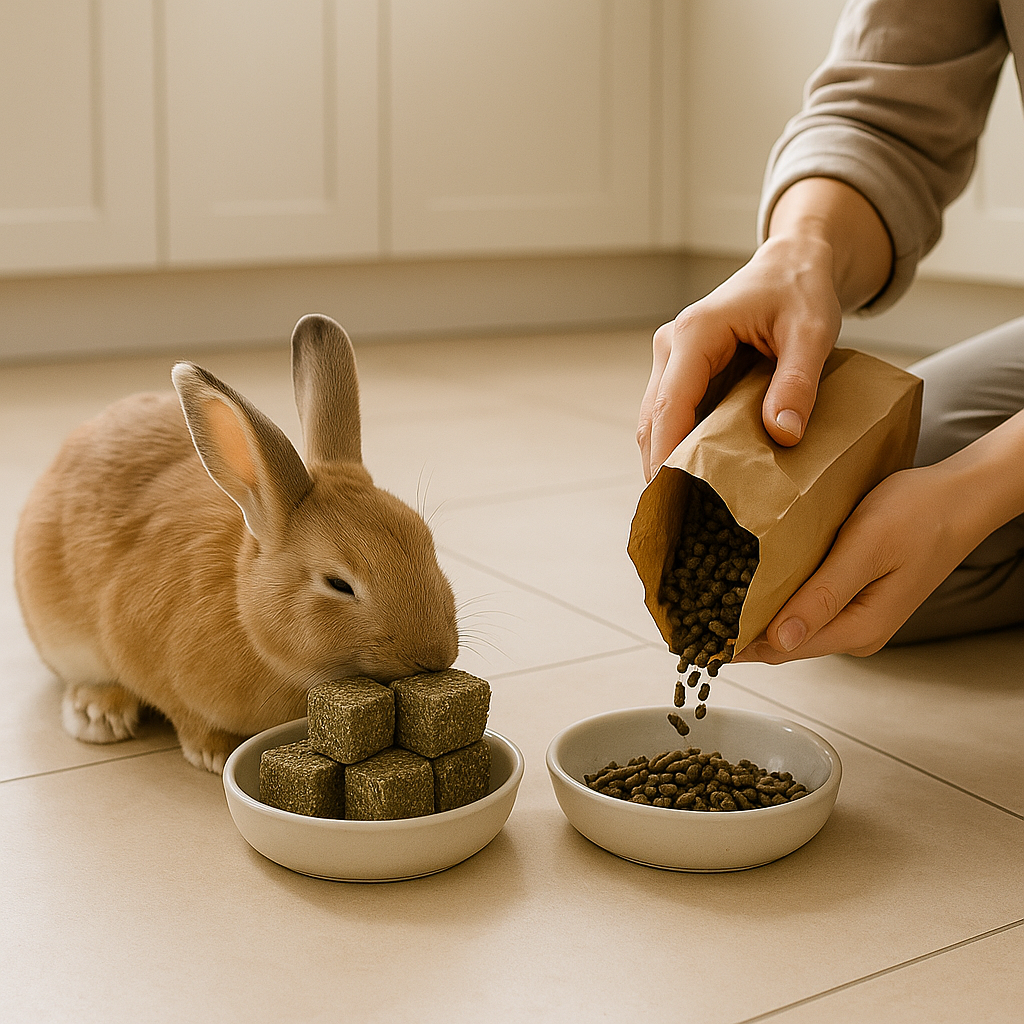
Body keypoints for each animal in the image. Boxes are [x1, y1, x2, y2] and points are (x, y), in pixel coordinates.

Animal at [14, 314, 459, 773]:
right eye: (339, 584)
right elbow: (185, 716)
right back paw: (98, 716)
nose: (435, 657)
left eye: (427, 542)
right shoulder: (146, 658)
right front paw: (215, 753)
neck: (247, 616)